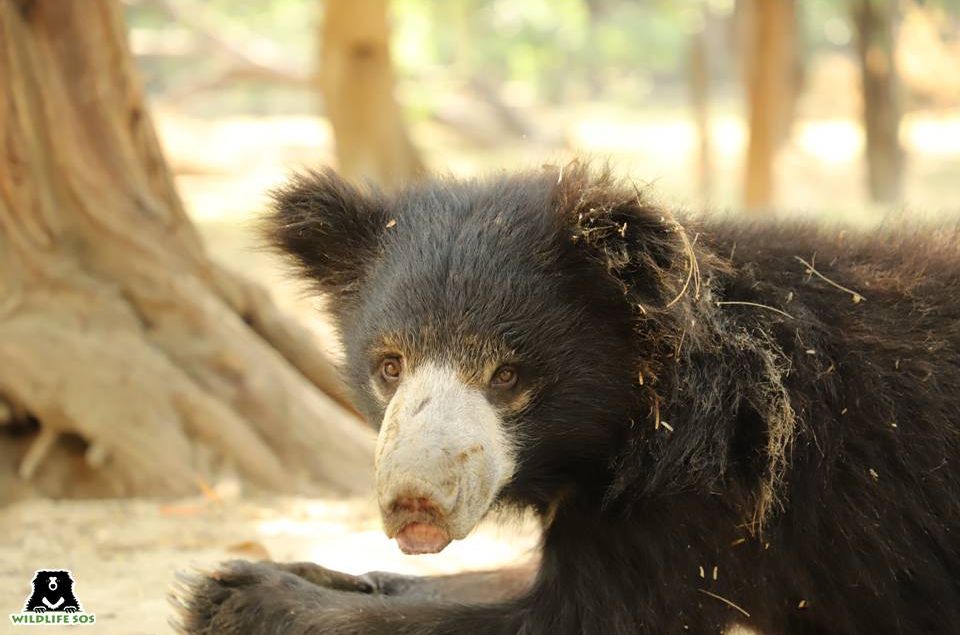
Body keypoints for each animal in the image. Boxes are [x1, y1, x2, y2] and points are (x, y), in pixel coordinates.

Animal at [176, 165, 960, 635]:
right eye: (390, 367)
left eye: (507, 376)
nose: (413, 505)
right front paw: (275, 569)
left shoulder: (702, 504)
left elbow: (570, 617)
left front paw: (235, 594)